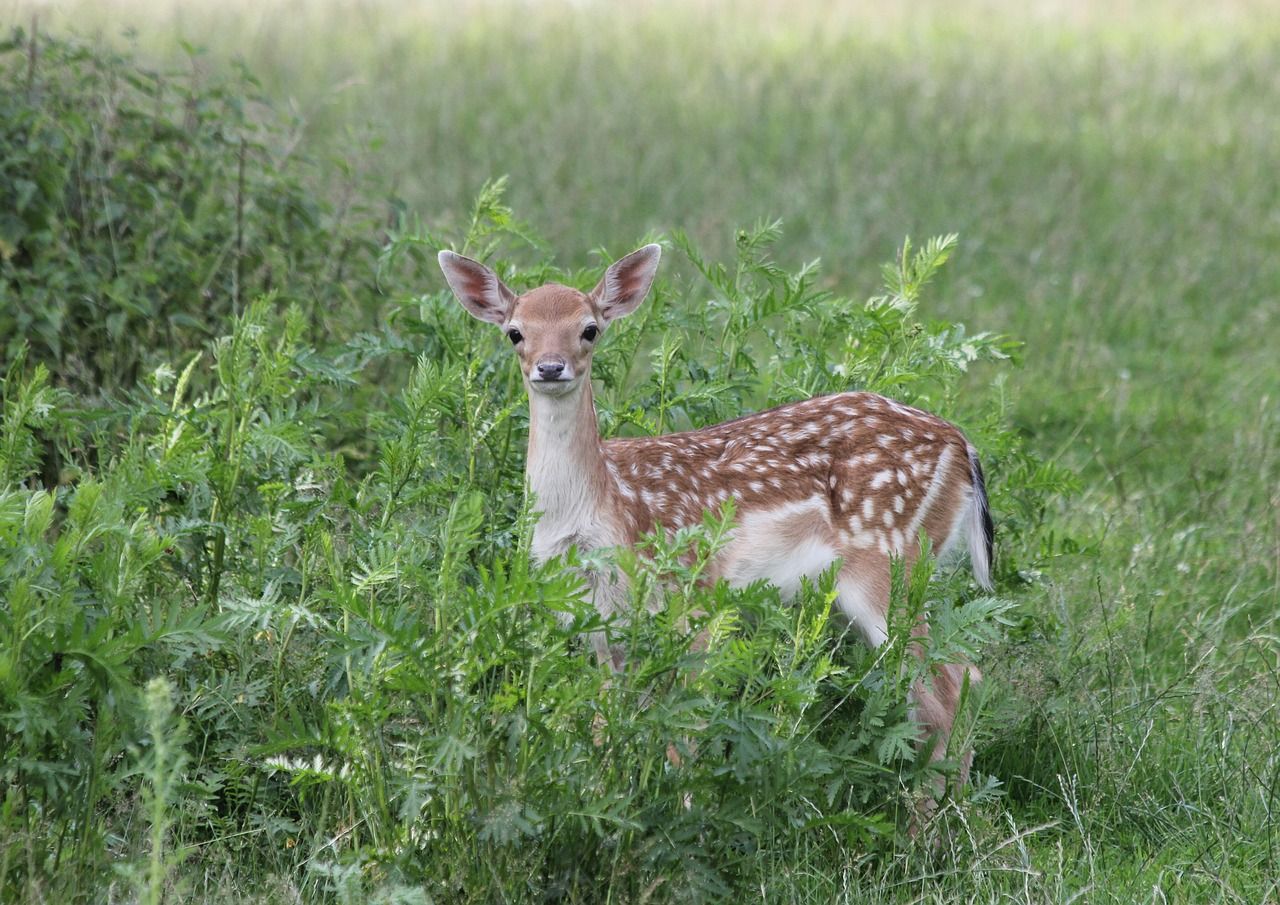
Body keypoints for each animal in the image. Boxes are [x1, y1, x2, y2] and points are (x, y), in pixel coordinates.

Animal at [435, 244, 993, 788]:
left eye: (589, 328)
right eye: (515, 332)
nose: (550, 367)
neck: (602, 511)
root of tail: (963, 446)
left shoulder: (694, 593)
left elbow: (683, 730)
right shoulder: (602, 621)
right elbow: (605, 723)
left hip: (892, 557)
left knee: (951, 684)